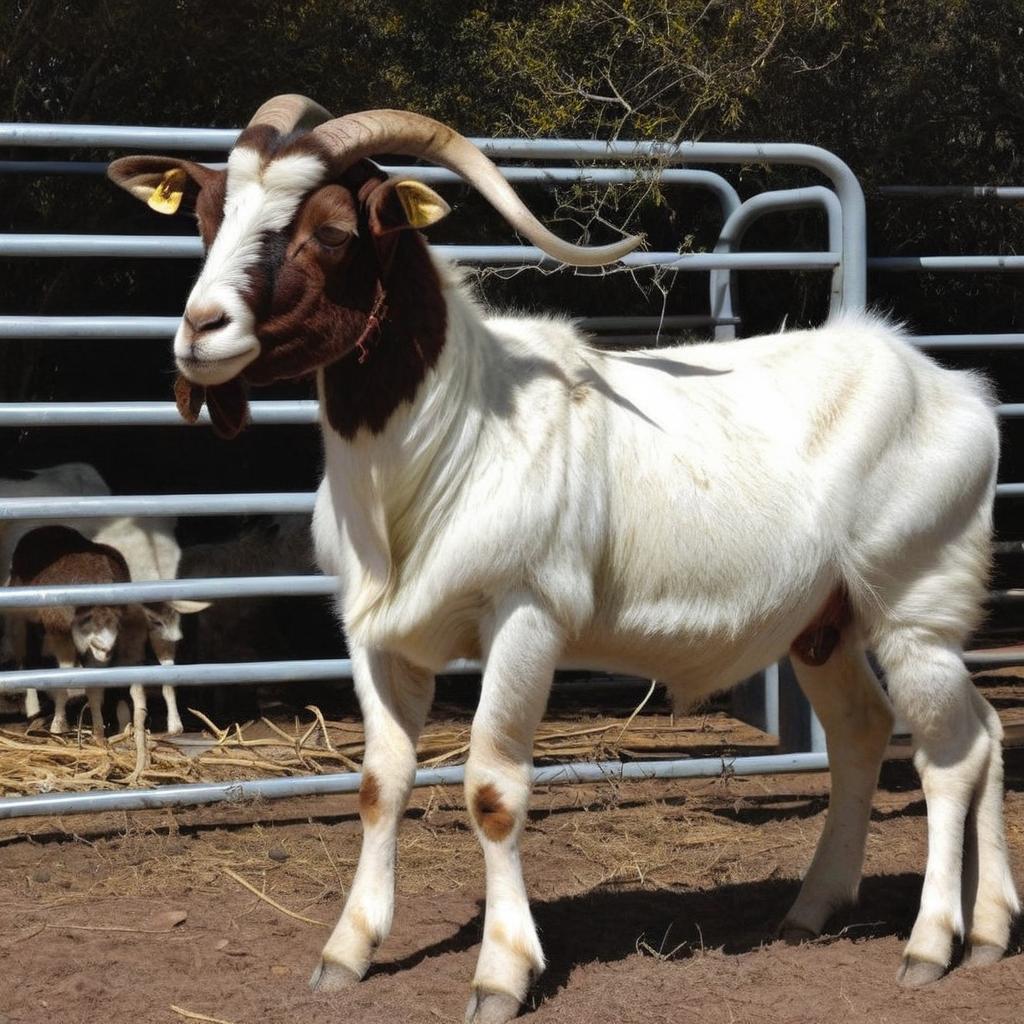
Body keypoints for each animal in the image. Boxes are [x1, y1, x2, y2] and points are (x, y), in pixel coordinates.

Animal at [109, 95, 1018, 1020]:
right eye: (206, 216)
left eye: (330, 230)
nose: (200, 333)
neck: (454, 433)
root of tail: (958, 394)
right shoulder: (374, 632)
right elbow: (380, 782)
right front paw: (347, 950)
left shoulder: (527, 614)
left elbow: (492, 788)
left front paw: (502, 972)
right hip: (823, 622)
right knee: (901, 731)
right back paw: (898, 918)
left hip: (916, 602)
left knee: (951, 752)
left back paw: (930, 943)